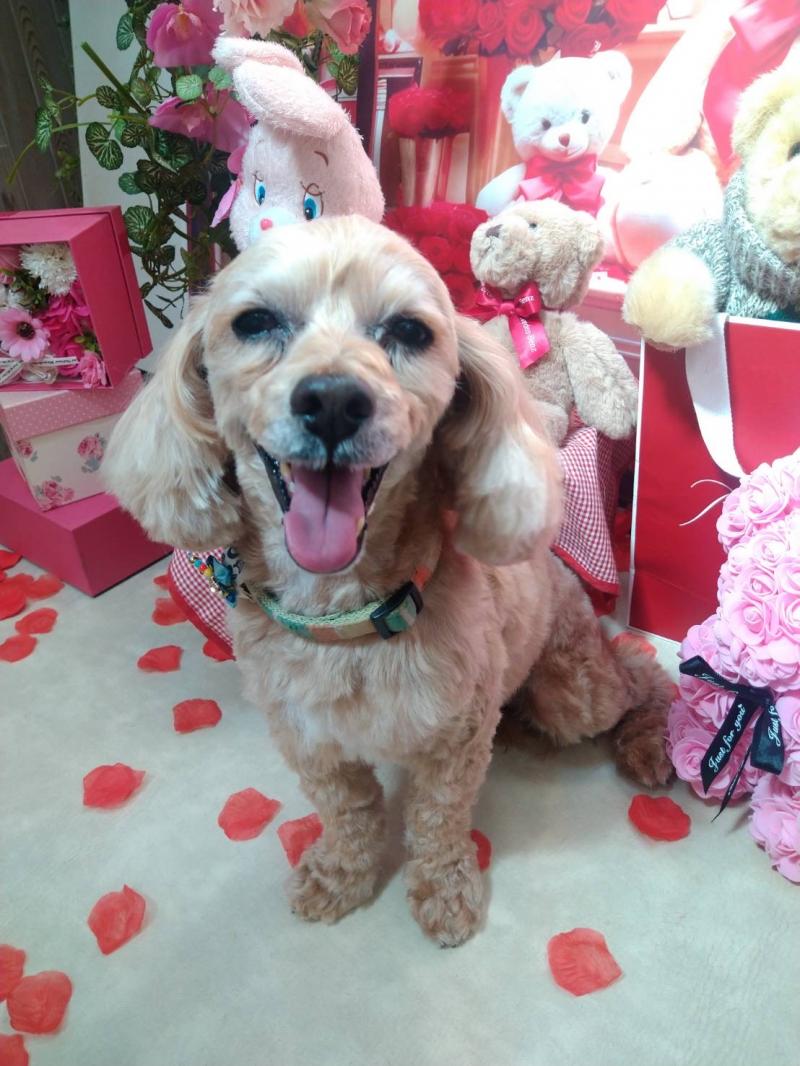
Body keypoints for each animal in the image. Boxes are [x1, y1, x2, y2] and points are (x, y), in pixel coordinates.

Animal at [105, 216, 673, 947]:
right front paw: (340, 876)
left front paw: (445, 892)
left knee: (641, 677)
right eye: (254, 321)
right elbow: (349, 812)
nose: (332, 401)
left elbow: (437, 822)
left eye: (409, 330)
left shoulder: (455, 741)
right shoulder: (308, 739)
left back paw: (648, 740)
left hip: (575, 691)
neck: (344, 621)